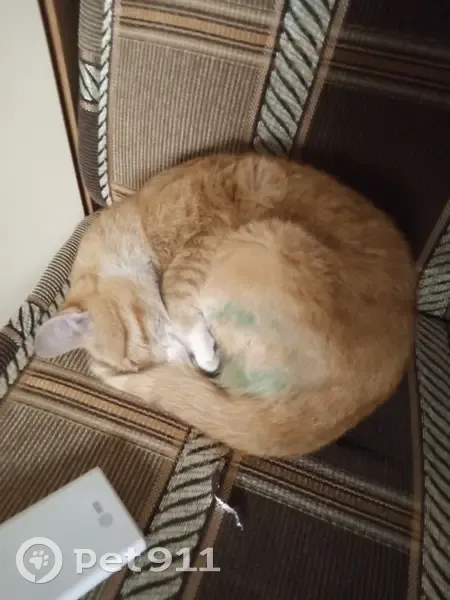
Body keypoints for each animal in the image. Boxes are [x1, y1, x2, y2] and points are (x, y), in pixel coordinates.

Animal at [35, 153, 416, 458]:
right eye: (138, 363)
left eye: (136, 351)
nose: (176, 360)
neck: (136, 217)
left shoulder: (200, 241)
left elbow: (174, 293)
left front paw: (201, 349)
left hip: (263, 239)